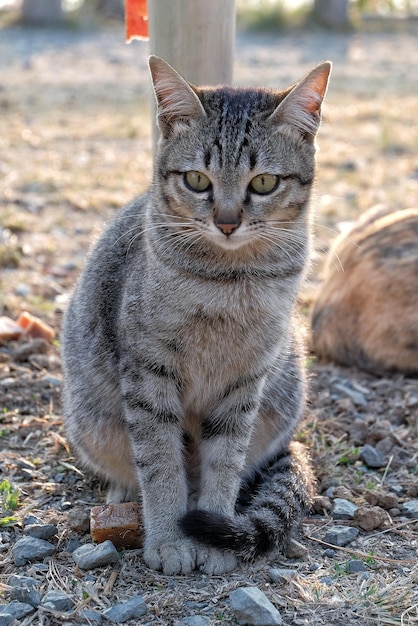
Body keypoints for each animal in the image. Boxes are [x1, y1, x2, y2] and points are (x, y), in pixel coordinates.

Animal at [61, 56, 330, 572]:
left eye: (263, 182)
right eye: (197, 180)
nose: (226, 222)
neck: (230, 282)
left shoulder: (246, 379)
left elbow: (224, 461)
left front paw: (213, 535)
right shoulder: (149, 374)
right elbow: (160, 464)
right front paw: (168, 539)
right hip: (91, 420)